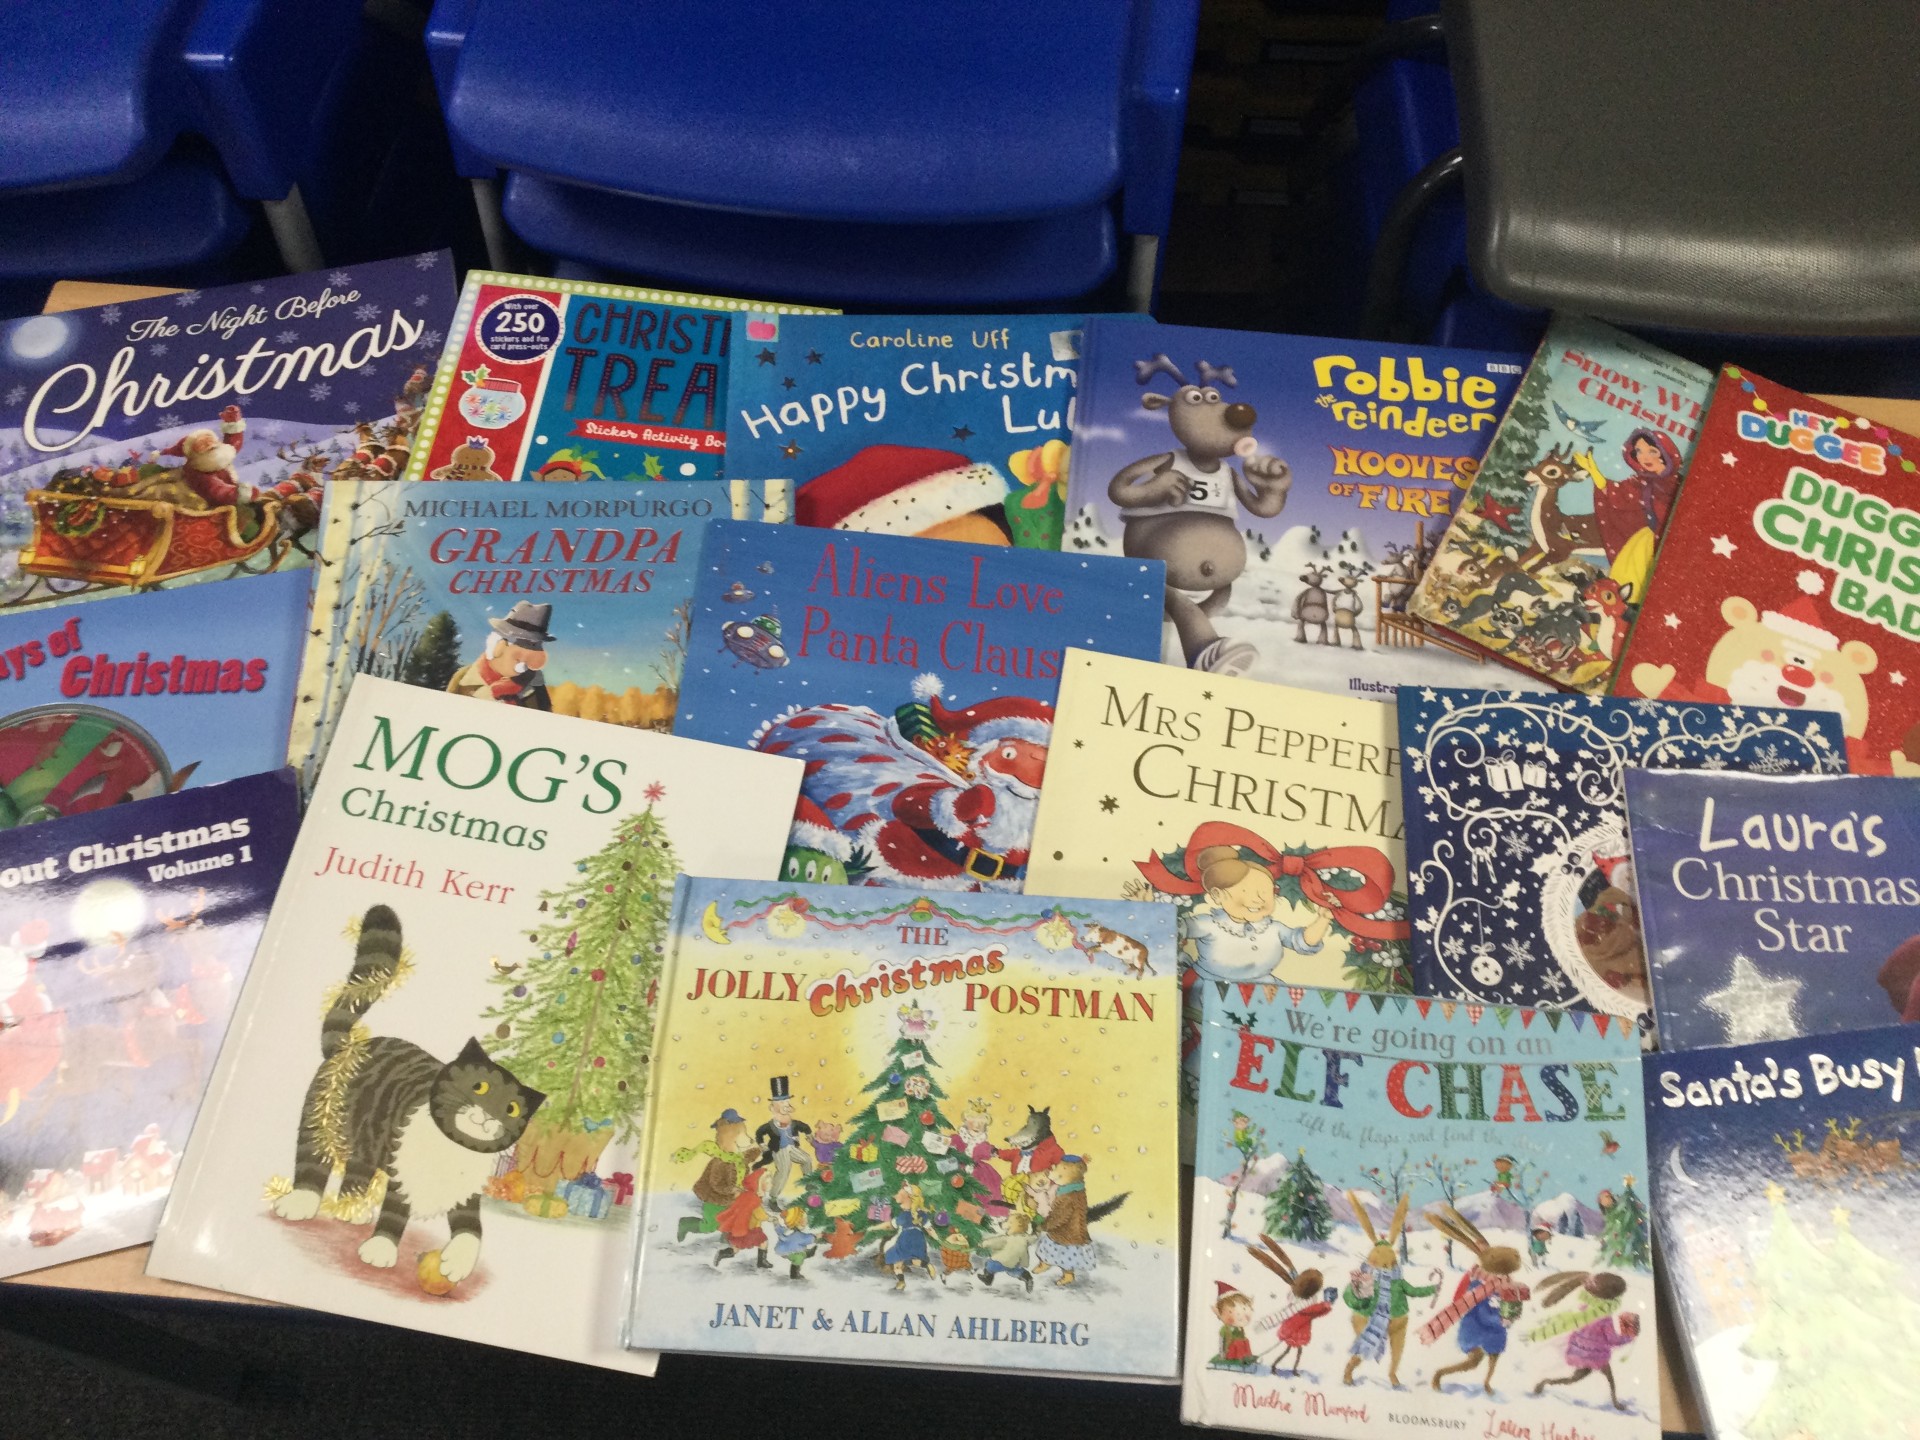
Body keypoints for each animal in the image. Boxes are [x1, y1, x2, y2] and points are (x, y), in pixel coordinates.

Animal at [271, 903, 544, 1287]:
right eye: (479, 1087)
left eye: (512, 1108)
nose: (487, 1115)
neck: (452, 1151)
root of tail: (349, 1047)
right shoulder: (404, 1174)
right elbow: (395, 1214)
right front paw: (381, 1249)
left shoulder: (466, 1194)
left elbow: (472, 1231)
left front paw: (457, 1264)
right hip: (323, 1119)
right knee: (313, 1160)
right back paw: (301, 1203)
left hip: (368, 1136)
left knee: (358, 1166)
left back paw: (351, 1209)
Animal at [1249, 1233, 1337, 1377]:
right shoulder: (1309, 1309)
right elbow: (1318, 1310)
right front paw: (1327, 1303)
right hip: (1293, 1337)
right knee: (1291, 1350)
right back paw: (1276, 1368)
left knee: (1293, 1350)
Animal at [1341, 1192, 1436, 1388]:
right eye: (1374, 1254)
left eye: (1392, 1259)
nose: (1385, 1264)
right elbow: (1349, 1295)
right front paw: (1359, 1290)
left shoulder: (1402, 1286)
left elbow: (1414, 1290)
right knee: (1360, 1352)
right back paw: (1348, 1379)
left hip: (1399, 1332)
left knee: (1396, 1355)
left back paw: (1394, 1381)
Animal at [1420, 1205, 1532, 1397]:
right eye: (1493, 1256)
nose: (1517, 1254)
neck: (1494, 1279)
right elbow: (1485, 1311)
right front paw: (1503, 1315)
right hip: (1470, 1341)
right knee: (1473, 1361)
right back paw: (1437, 1381)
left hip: (1495, 1345)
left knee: (1490, 1361)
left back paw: (1487, 1388)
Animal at [1525, 1270, 1639, 1411]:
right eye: (1615, 1283)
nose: (1624, 1284)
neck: (1595, 1302)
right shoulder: (1605, 1323)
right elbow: (1612, 1338)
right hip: (1594, 1365)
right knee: (1606, 1379)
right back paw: (1617, 1405)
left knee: (1571, 1379)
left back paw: (1540, 1386)